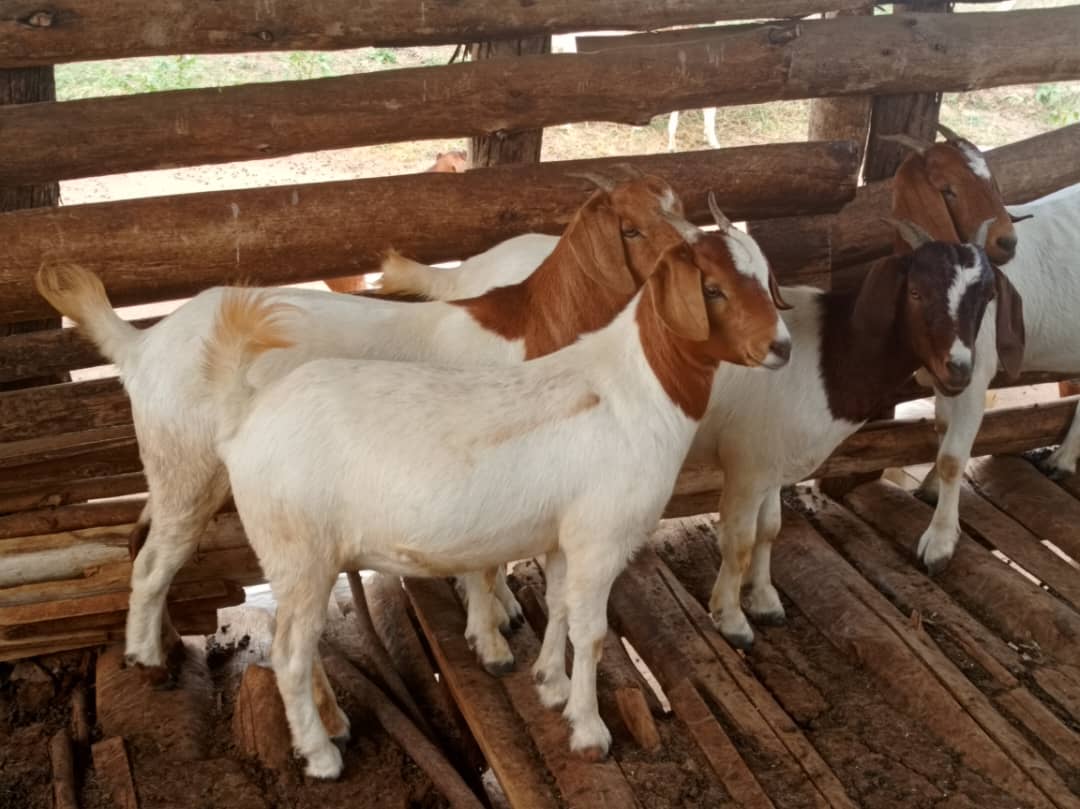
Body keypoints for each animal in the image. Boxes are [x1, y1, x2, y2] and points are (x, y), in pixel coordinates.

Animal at [35, 172, 694, 683]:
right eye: (630, 230)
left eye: (679, 212)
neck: (530, 327)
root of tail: (140, 345)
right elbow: (482, 563)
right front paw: (491, 644)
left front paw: (497, 619)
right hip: (186, 464)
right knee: (153, 560)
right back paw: (147, 659)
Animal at [201, 231, 791, 778]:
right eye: (712, 288)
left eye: (765, 278)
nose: (782, 347)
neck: (636, 389)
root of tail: (242, 422)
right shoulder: (601, 538)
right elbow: (592, 633)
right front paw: (589, 730)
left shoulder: (563, 535)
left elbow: (558, 606)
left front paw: (551, 684)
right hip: (299, 551)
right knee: (289, 656)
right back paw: (321, 756)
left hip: (297, 560)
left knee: (296, 644)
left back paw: (332, 727)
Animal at [915, 178, 1080, 573]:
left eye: (985, 296)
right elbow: (943, 431)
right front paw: (932, 488)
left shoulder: (974, 376)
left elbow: (951, 458)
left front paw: (940, 540)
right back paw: (1062, 461)